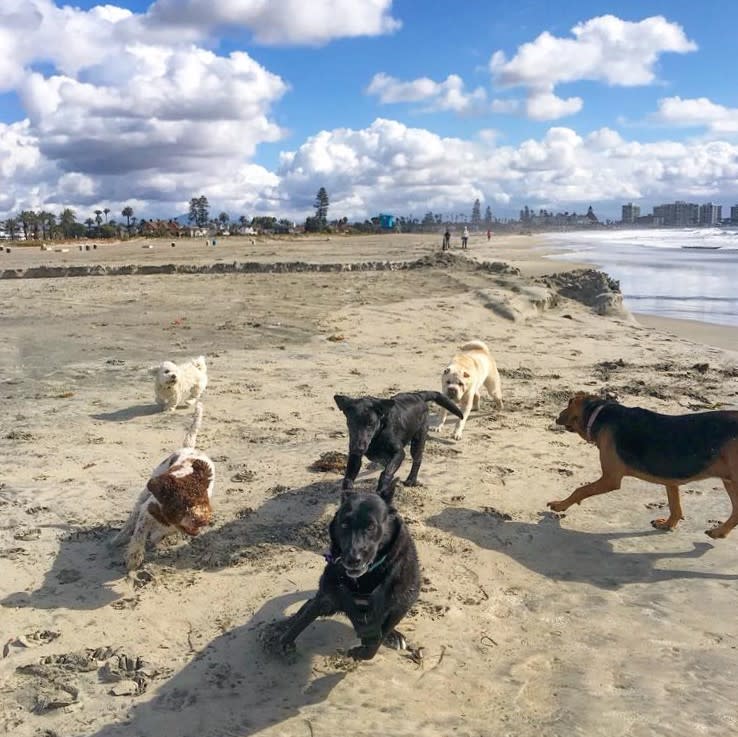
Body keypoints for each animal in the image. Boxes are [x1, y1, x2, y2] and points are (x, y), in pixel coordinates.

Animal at [274, 484, 416, 660]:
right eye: (344, 525)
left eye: (371, 527)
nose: (352, 559)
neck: (365, 579)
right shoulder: (328, 594)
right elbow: (304, 619)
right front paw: (284, 640)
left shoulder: (401, 605)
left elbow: (377, 641)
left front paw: (362, 652)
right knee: (308, 605)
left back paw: (394, 636)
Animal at [544, 392, 736, 536]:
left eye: (569, 402)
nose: (556, 417)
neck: (599, 414)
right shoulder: (670, 478)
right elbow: (675, 506)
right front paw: (668, 524)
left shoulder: (610, 479)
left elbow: (580, 490)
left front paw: (560, 505)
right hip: (729, 481)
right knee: (736, 511)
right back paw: (719, 532)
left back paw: (718, 532)